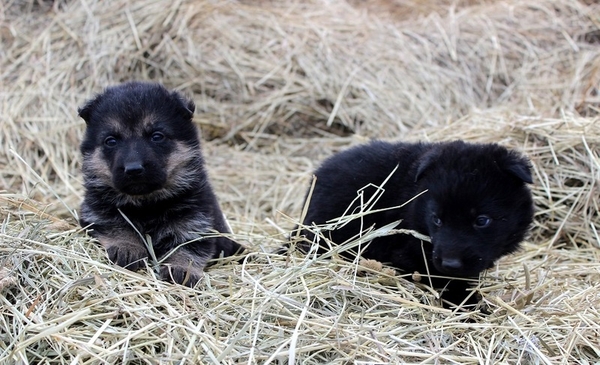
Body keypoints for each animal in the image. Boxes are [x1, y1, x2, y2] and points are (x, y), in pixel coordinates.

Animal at [78, 81, 243, 286]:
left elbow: (187, 246)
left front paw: (182, 268)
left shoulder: (196, 221)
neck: (146, 204)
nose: (133, 169)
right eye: (111, 141)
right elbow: (116, 225)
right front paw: (127, 247)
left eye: (157, 136)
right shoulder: (98, 211)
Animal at [296, 141, 536, 306]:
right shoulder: (411, 256)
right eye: (436, 219)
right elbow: (449, 283)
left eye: (482, 220)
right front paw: (468, 307)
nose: (450, 264)